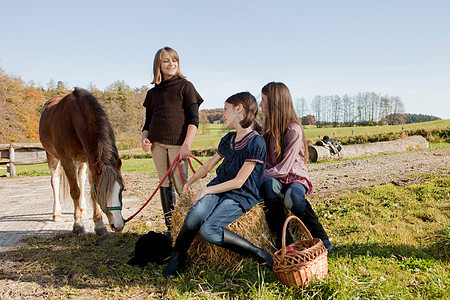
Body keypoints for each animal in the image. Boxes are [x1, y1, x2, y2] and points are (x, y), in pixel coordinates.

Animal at [39, 88, 125, 236]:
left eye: (122, 189)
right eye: (103, 192)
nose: (118, 225)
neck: (74, 119)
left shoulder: (91, 161)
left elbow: (91, 191)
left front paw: (99, 225)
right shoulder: (67, 161)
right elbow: (75, 191)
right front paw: (78, 225)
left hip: (82, 162)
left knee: (81, 178)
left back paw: (83, 208)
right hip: (52, 157)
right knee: (55, 181)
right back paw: (57, 214)